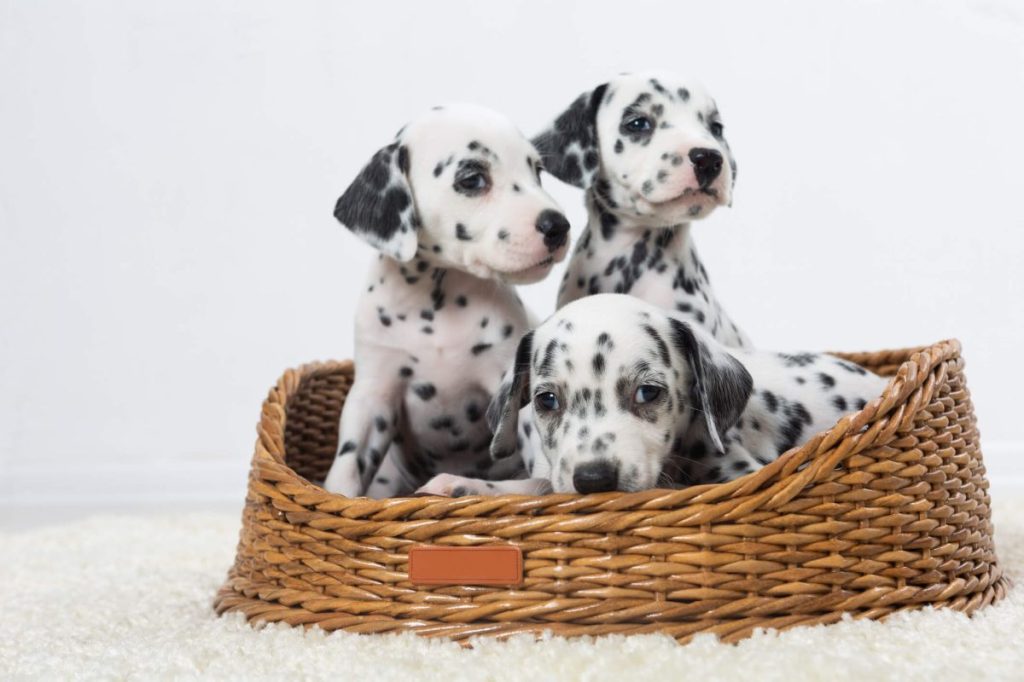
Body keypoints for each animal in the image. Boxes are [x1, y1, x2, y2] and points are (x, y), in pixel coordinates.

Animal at [323, 103, 573, 497]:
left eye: (537, 171)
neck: (436, 305)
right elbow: (347, 465)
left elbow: (534, 481)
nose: (558, 226)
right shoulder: (373, 395)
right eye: (472, 179)